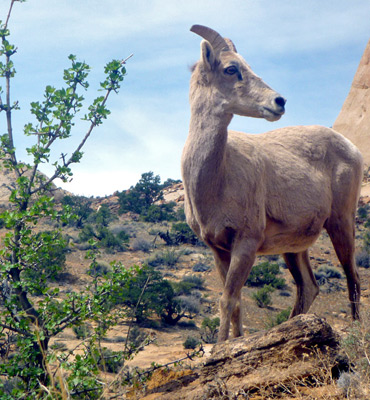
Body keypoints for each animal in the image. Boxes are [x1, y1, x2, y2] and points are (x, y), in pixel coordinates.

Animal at [182, 25, 364, 342]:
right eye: (231, 69)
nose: (279, 102)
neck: (215, 180)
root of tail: (352, 149)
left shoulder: (246, 242)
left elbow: (227, 299)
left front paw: (220, 346)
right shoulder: (219, 249)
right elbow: (236, 301)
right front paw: (236, 340)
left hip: (341, 222)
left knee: (352, 276)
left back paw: (354, 332)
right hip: (295, 248)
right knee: (309, 287)